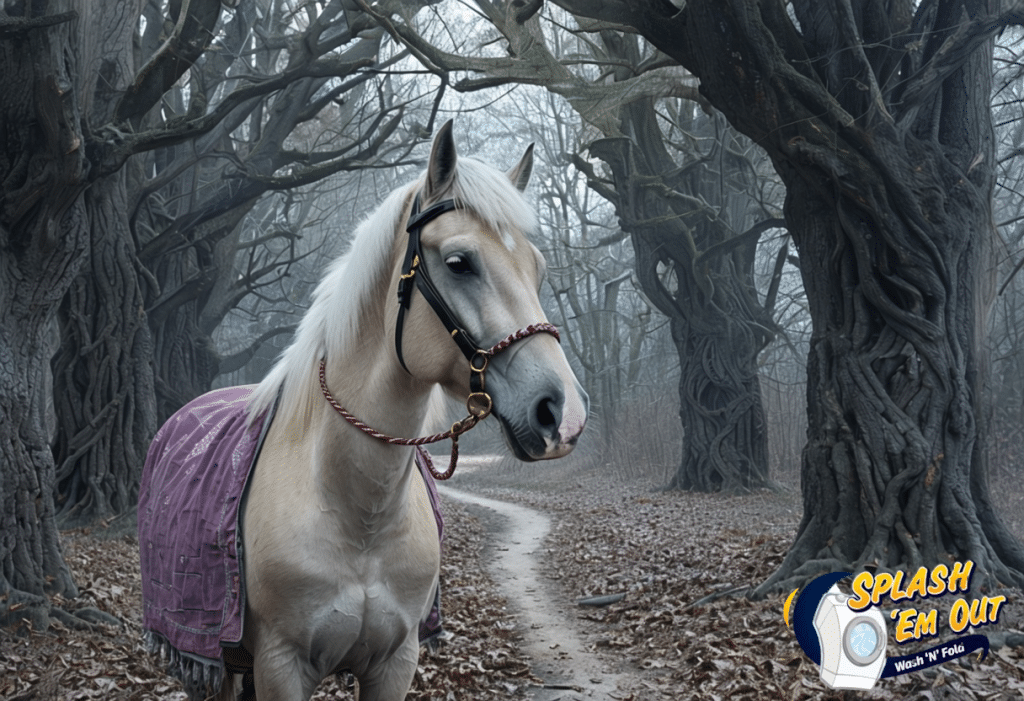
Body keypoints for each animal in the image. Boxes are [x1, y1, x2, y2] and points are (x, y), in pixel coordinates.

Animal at [227, 122, 589, 695]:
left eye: (537, 269)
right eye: (460, 262)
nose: (564, 413)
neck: (359, 516)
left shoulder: (396, 663)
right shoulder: (280, 666)